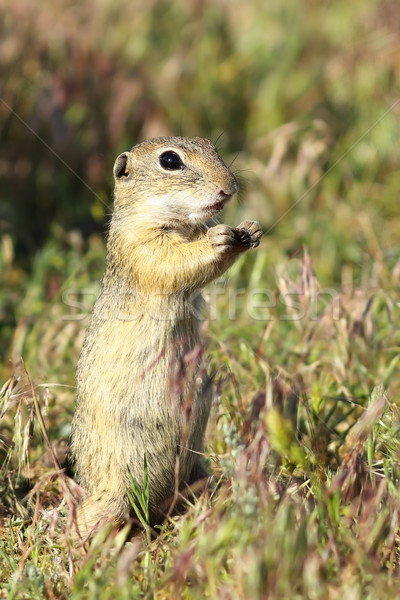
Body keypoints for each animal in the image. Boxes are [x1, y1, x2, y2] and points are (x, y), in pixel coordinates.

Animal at [71, 137, 262, 540]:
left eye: (213, 147)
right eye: (170, 161)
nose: (230, 187)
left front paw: (250, 229)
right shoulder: (144, 248)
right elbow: (176, 262)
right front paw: (220, 238)